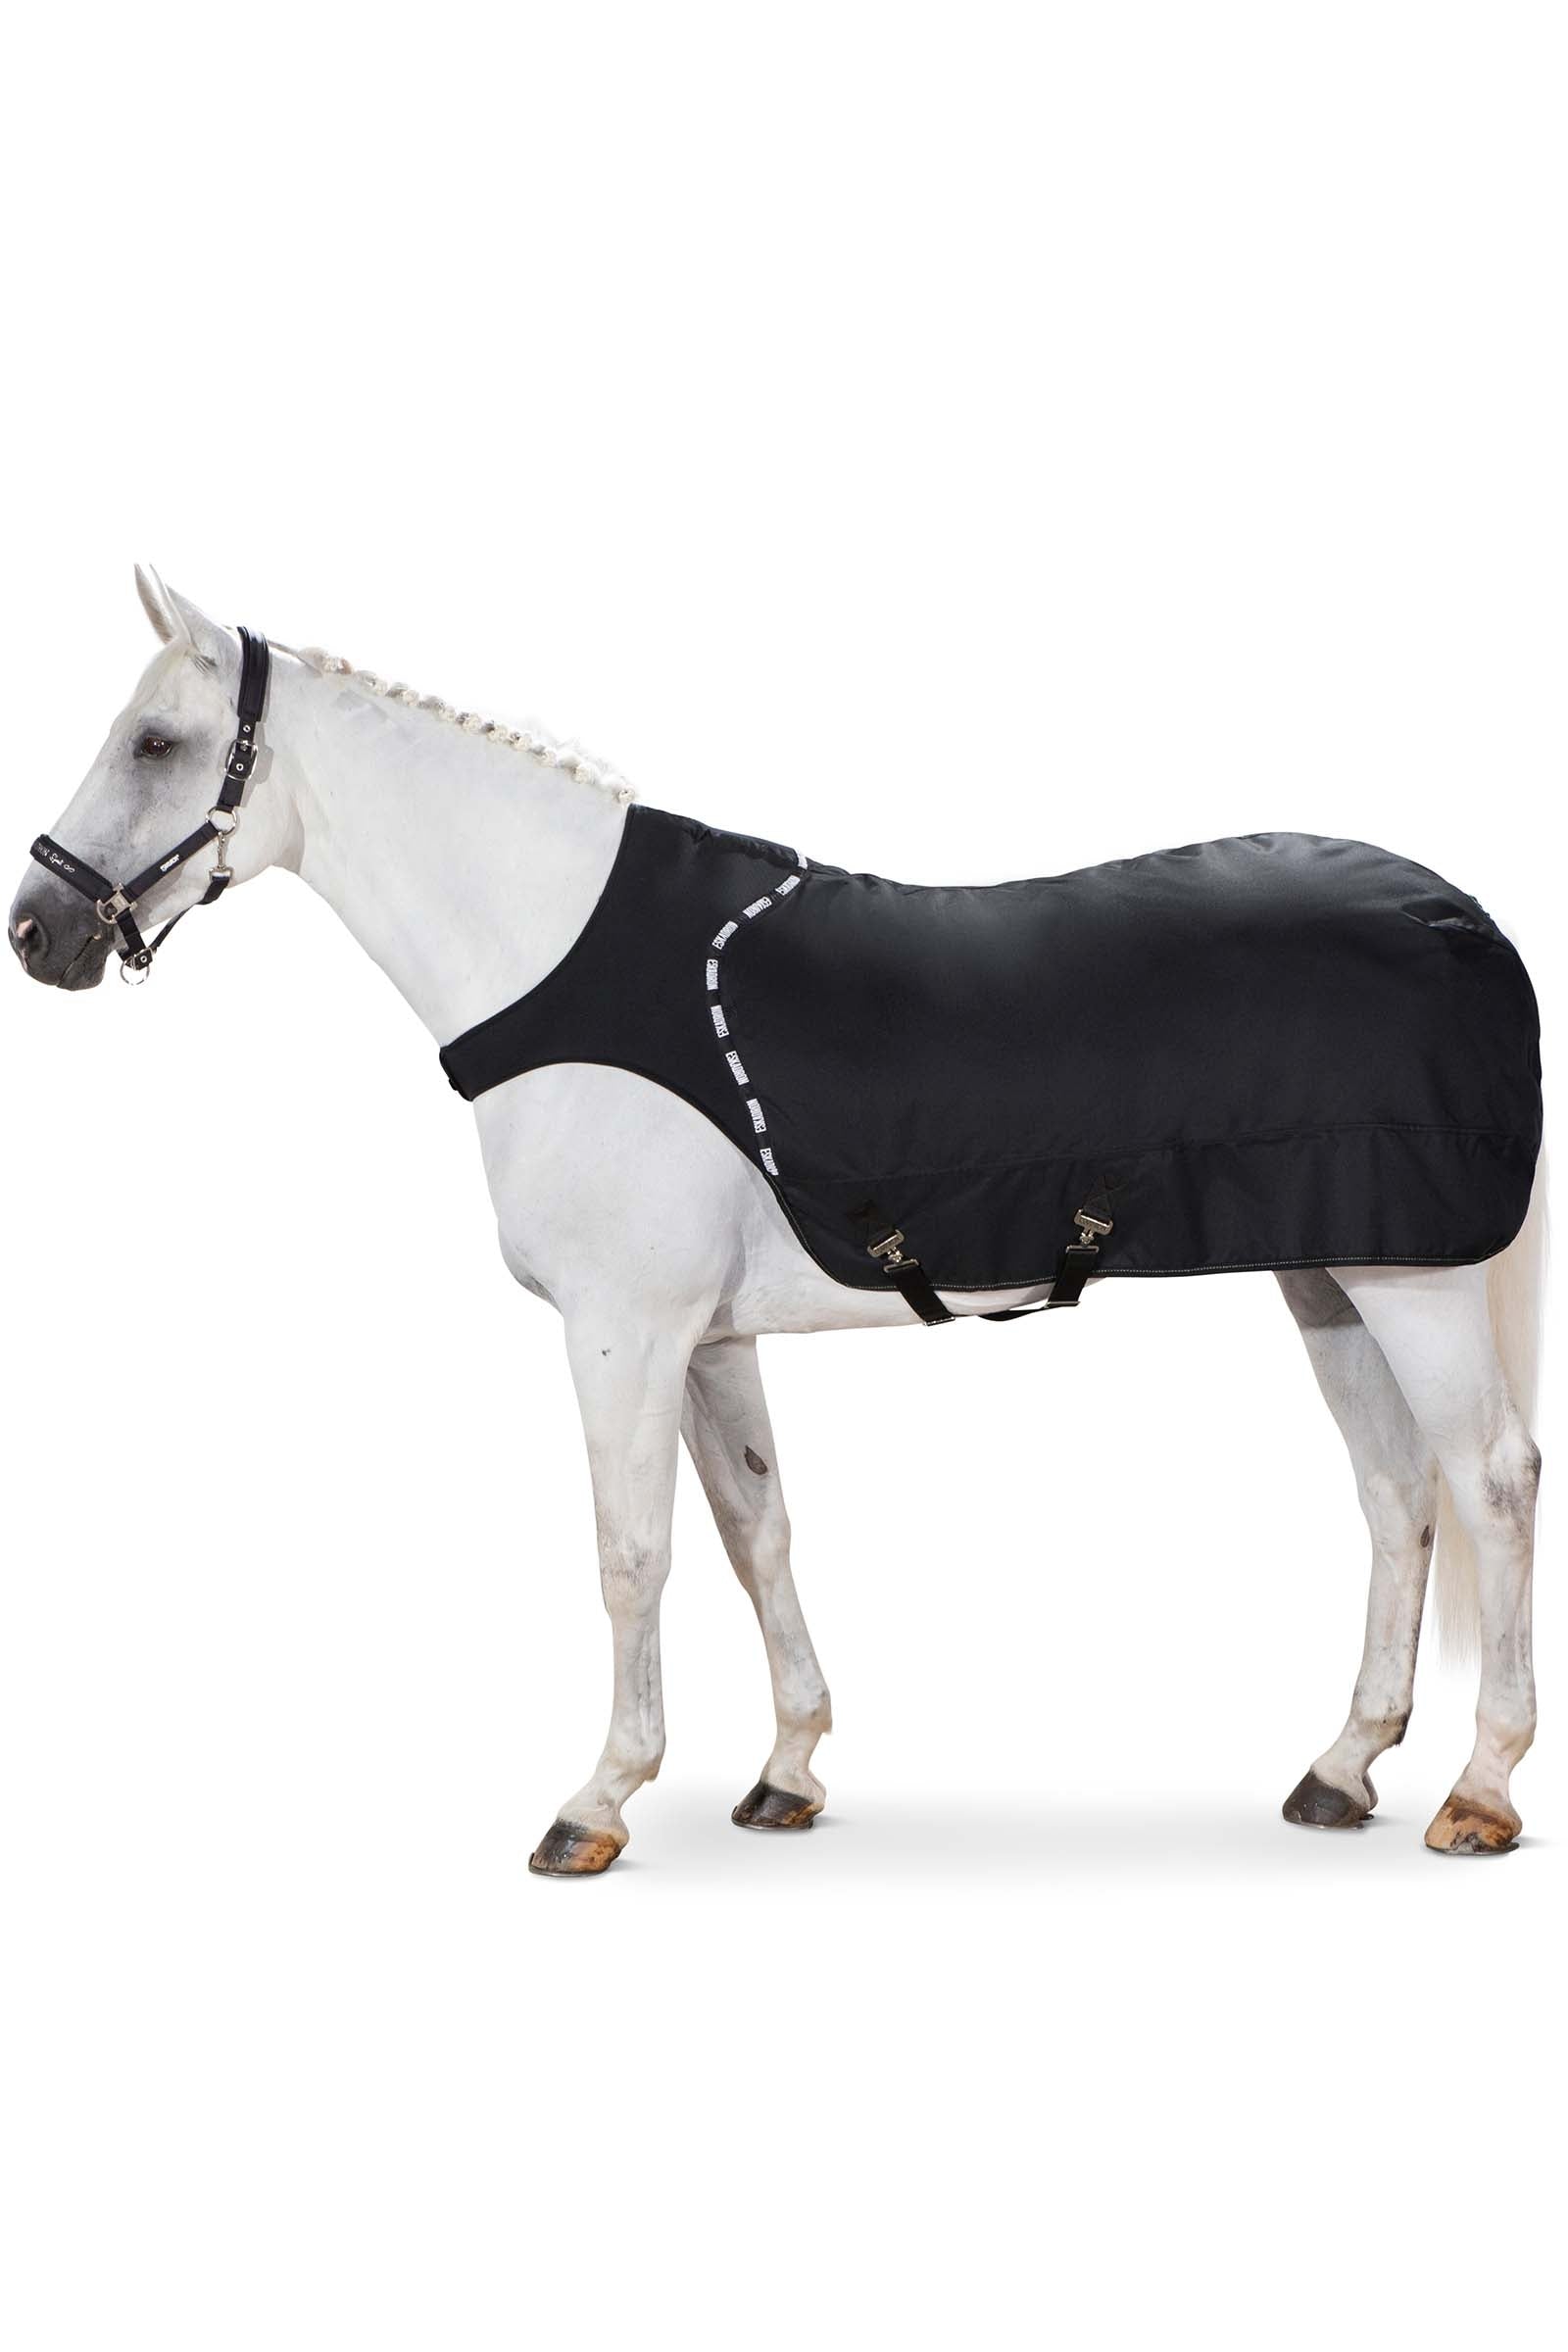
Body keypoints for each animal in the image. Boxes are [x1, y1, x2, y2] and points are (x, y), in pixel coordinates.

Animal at [9, 569, 1544, 1875]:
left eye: (154, 741)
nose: (37, 933)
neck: (556, 954)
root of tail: (1459, 917)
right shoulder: (705, 1339)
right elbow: (756, 1530)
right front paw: (788, 1771)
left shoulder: (623, 1333)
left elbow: (632, 1553)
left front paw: (597, 1801)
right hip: (1330, 1277)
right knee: (1395, 1494)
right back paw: (1342, 1769)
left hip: (1408, 1283)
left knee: (1491, 1480)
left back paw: (1479, 1790)